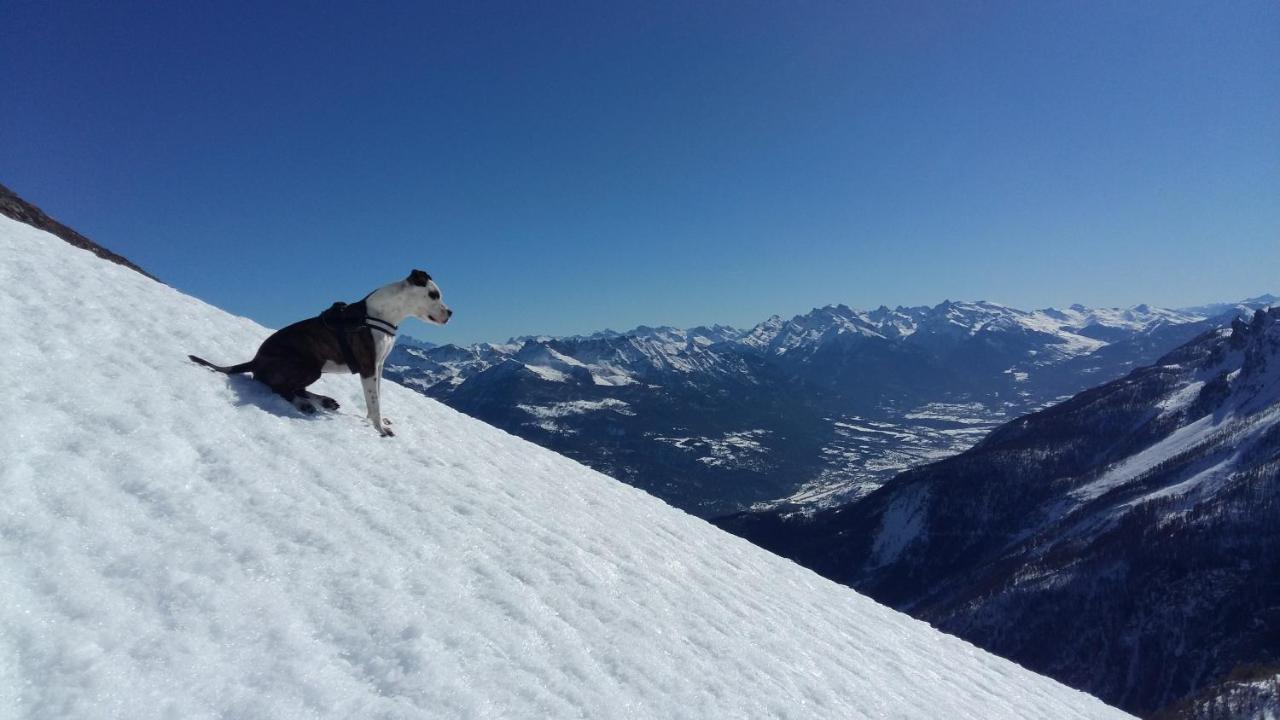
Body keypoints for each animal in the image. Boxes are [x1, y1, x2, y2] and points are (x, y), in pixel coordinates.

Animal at [186, 269, 453, 438]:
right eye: (434, 295)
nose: (450, 313)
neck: (382, 314)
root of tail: (255, 360)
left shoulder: (379, 366)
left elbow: (376, 397)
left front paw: (379, 420)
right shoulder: (368, 366)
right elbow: (373, 401)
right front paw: (380, 429)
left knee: (295, 387)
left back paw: (324, 400)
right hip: (309, 366)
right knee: (278, 387)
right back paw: (304, 404)